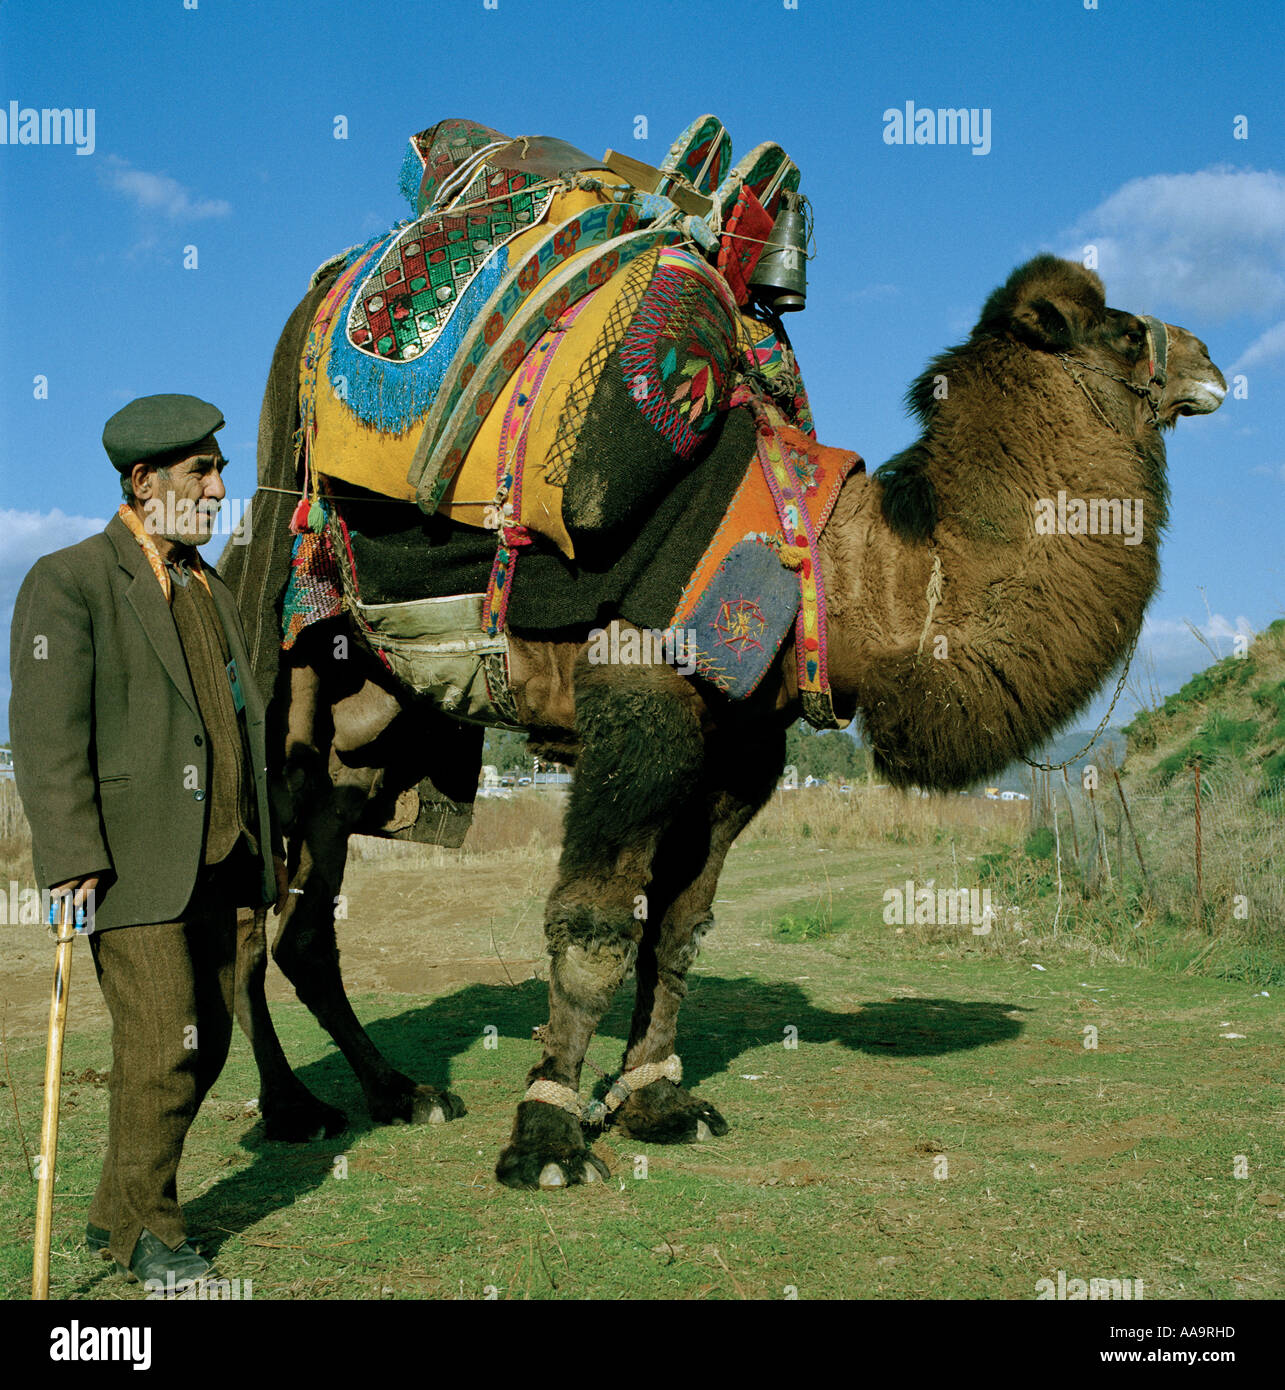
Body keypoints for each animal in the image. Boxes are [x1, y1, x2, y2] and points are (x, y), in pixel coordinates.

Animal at [221, 254, 1224, 1188]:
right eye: (1121, 331)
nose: (1210, 360)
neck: (849, 576)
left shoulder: (741, 753)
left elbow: (677, 929)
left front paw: (655, 1103)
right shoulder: (641, 702)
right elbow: (594, 922)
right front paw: (547, 1138)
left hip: (361, 749)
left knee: (301, 926)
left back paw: (397, 1093)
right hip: (258, 720)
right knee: (234, 917)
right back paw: (294, 1109)